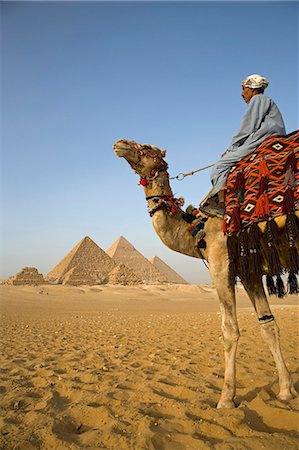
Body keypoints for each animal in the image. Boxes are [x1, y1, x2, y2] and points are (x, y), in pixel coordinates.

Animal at [113, 139, 298, 410]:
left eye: (147, 146)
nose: (120, 144)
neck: (198, 229)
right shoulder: (249, 271)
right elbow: (268, 325)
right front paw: (285, 390)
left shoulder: (222, 264)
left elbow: (229, 330)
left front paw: (226, 399)